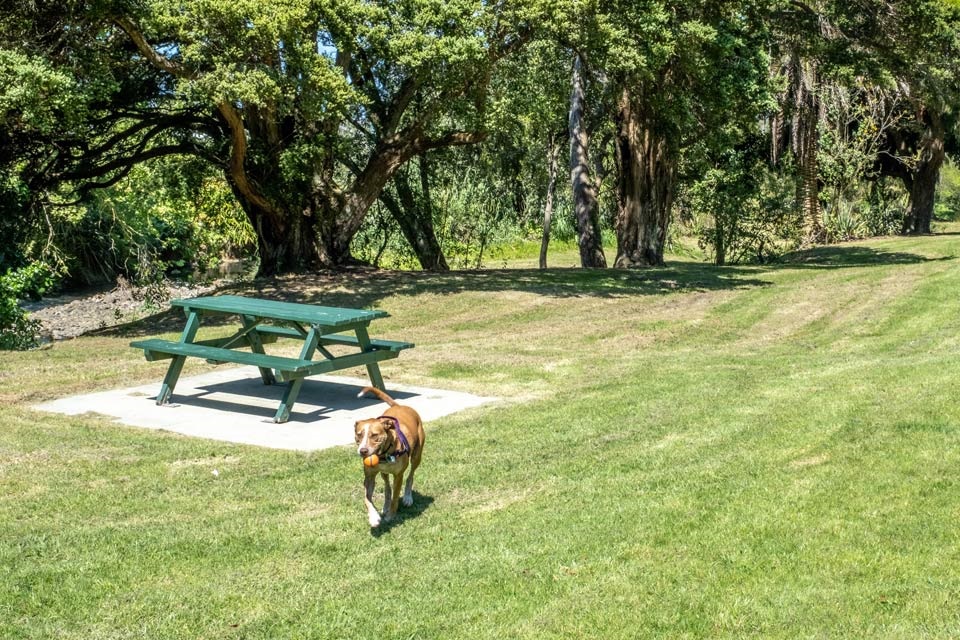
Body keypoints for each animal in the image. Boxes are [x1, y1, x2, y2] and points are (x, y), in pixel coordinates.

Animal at [354, 388, 426, 528]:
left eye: (374, 435)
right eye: (359, 435)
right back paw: (385, 506)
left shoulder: (398, 475)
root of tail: (400, 406)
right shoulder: (369, 477)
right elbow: (367, 498)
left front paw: (391, 516)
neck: (384, 454)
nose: (363, 451)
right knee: (387, 487)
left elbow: (395, 497)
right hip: (384, 473)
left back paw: (408, 497)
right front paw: (374, 517)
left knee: (411, 475)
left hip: (417, 456)